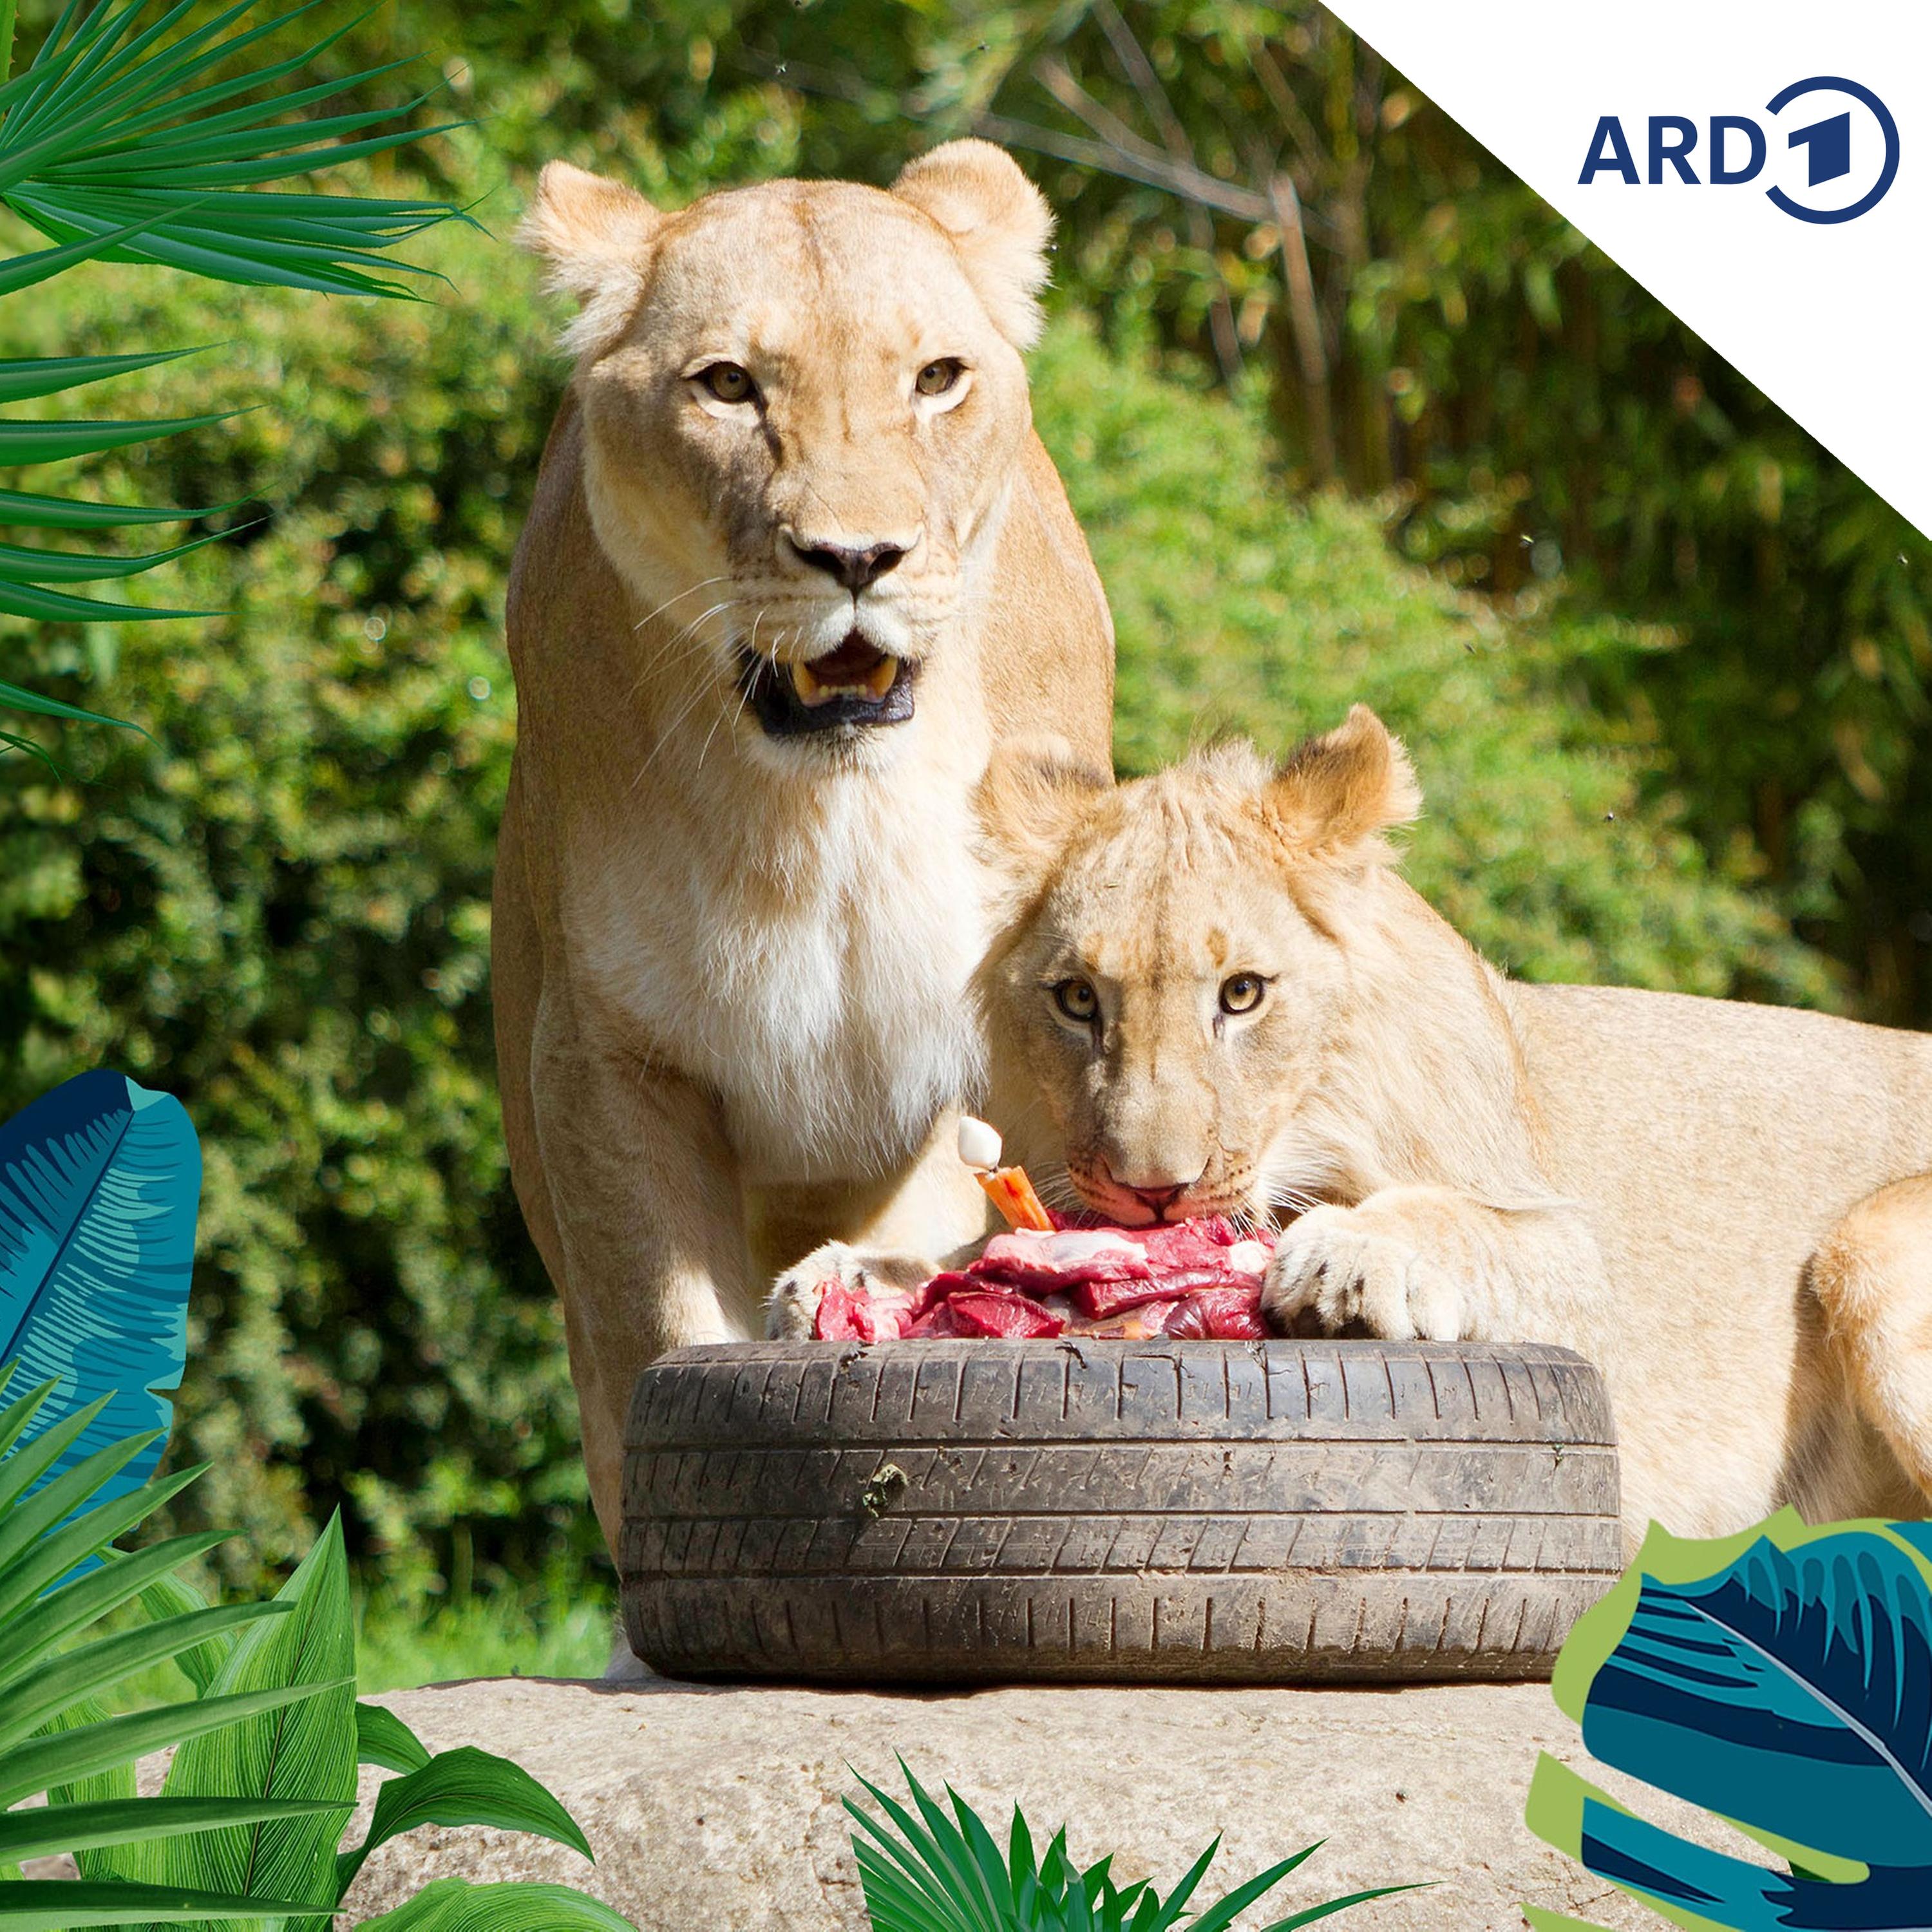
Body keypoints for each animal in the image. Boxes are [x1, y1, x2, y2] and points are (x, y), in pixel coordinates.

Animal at [493, 140, 1115, 1573]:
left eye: (934, 379)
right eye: (729, 385)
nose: (856, 557)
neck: (827, 818)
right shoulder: (607, 1058)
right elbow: (665, 1333)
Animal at [773, 707, 1932, 1550]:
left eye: (1242, 995)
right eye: (1078, 1001)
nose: (1153, 1193)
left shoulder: (1584, 1269)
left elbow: (1465, 1223)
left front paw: (1351, 1256)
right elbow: (976, 1250)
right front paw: (849, 1280)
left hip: (1871, 1243)